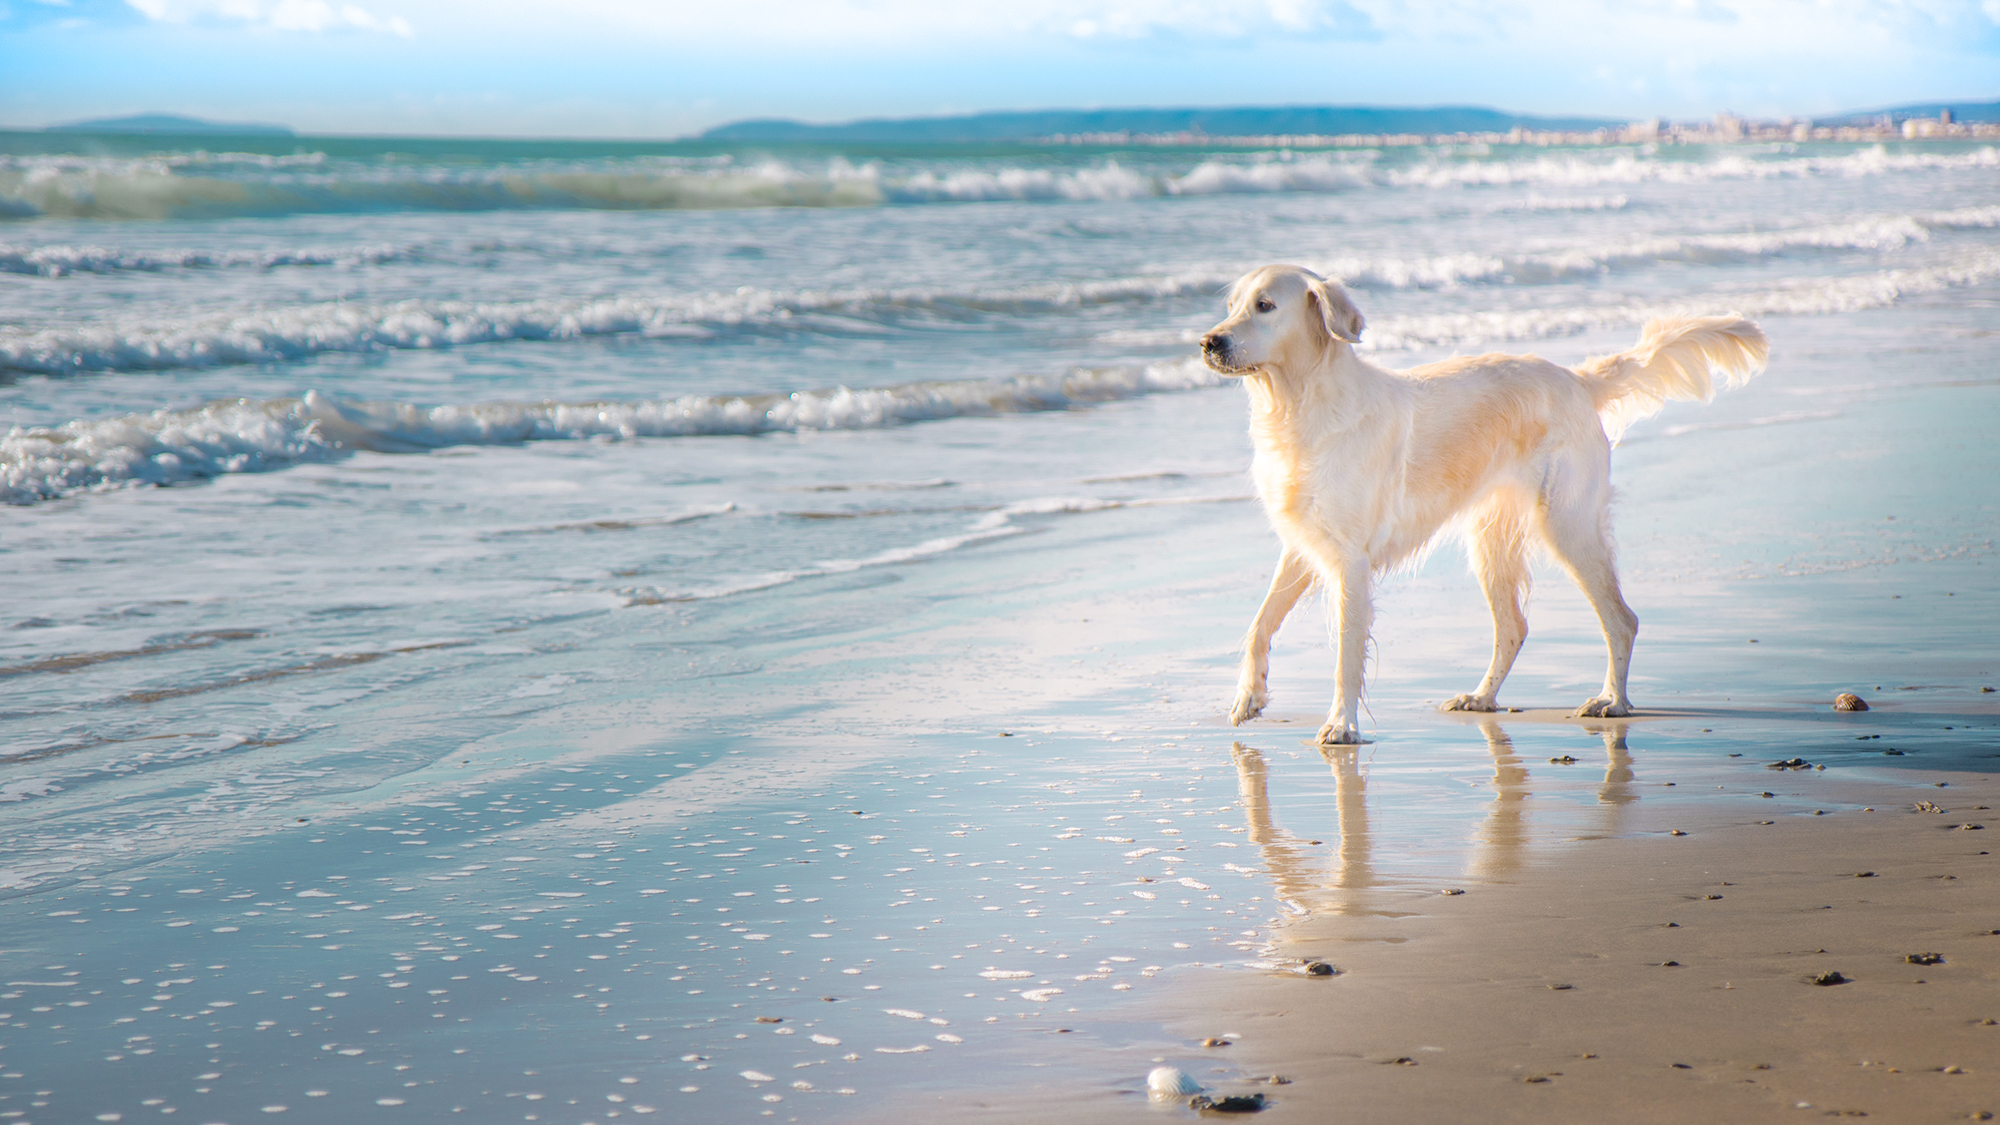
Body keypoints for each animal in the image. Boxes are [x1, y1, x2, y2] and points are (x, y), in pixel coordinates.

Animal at [1200, 264, 1768, 744]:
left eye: (1266, 305)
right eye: (1231, 305)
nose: (1208, 342)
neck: (1298, 404)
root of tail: (1575, 379)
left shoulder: (1349, 561)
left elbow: (1344, 655)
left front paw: (1342, 725)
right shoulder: (1302, 545)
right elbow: (1258, 625)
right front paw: (1249, 697)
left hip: (1567, 524)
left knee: (1620, 618)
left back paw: (1611, 700)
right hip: (1491, 538)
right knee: (1514, 626)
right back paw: (1482, 697)